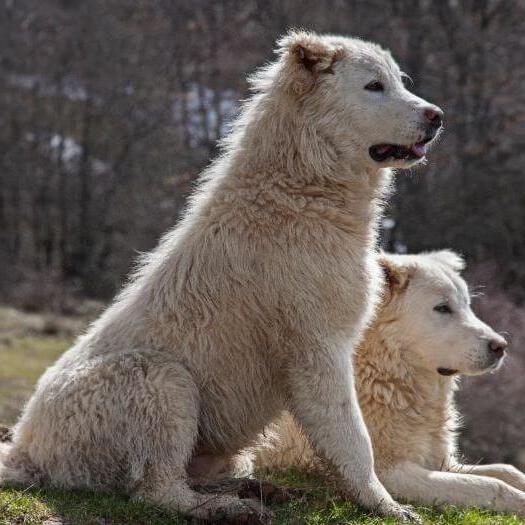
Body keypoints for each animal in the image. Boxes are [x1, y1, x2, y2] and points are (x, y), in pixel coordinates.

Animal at [247, 252, 524, 512]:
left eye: (467, 305)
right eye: (443, 308)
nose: (501, 346)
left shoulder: (442, 461)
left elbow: (506, 470)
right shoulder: (390, 472)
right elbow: (491, 485)